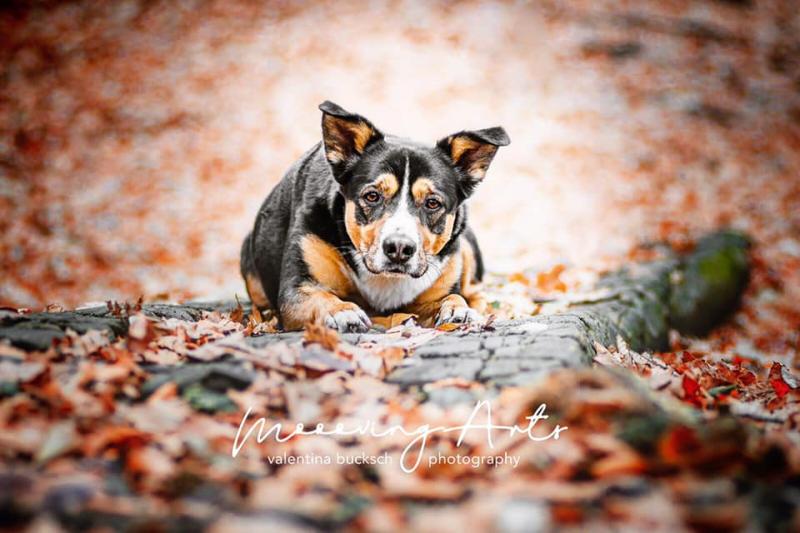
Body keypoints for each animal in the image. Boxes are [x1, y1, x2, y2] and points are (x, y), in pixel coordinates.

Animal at [240, 101, 509, 332]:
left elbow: (452, 296)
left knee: (476, 290)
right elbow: (319, 296)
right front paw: (341, 310)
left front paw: (457, 309)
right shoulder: (296, 288)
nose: (399, 248)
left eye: (433, 203)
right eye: (372, 196)